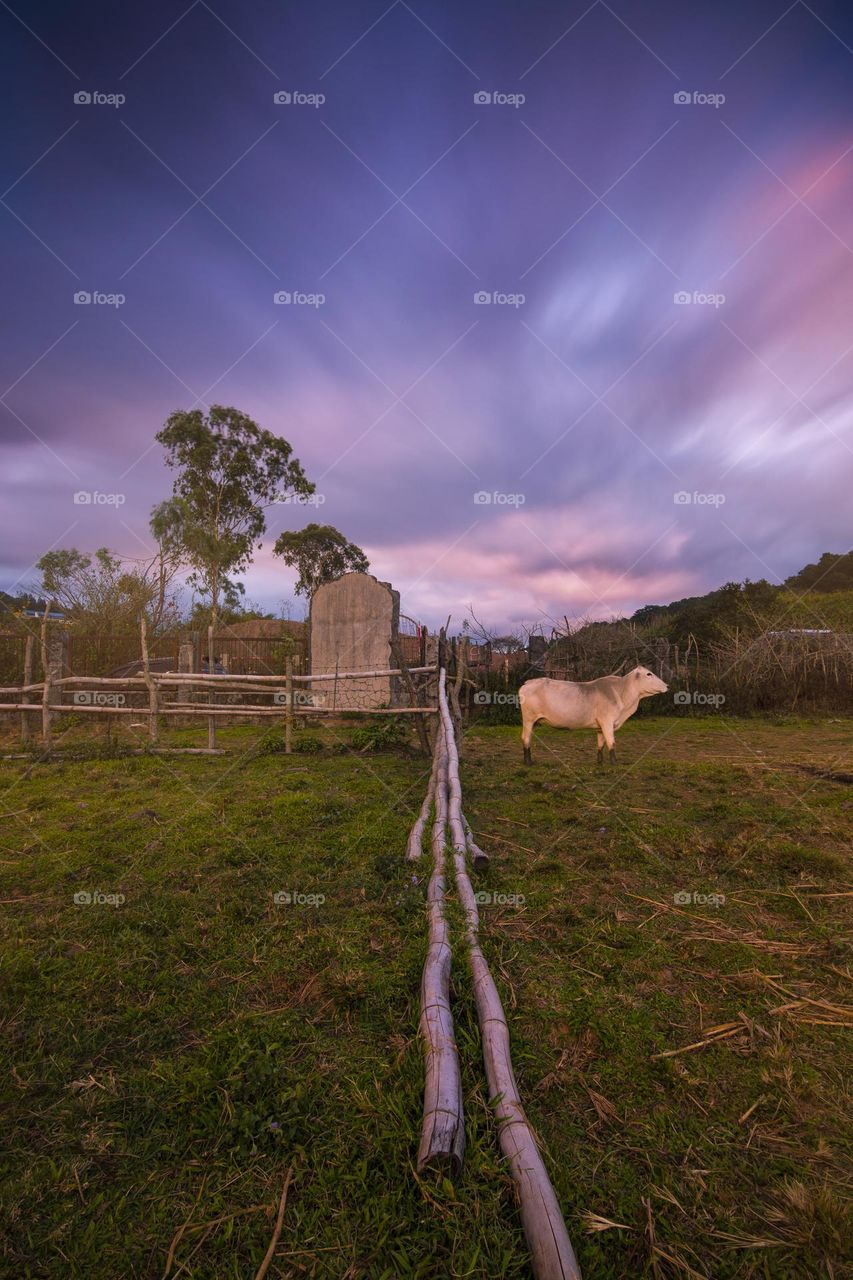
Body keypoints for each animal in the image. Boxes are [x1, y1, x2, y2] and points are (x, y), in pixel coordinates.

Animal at [514, 665, 666, 762]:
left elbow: (601, 743)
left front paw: (600, 762)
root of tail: (529, 682)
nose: (667, 686)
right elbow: (611, 743)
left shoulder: (600, 725)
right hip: (528, 719)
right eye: (649, 674)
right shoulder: (607, 721)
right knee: (525, 738)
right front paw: (614, 763)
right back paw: (528, 762)